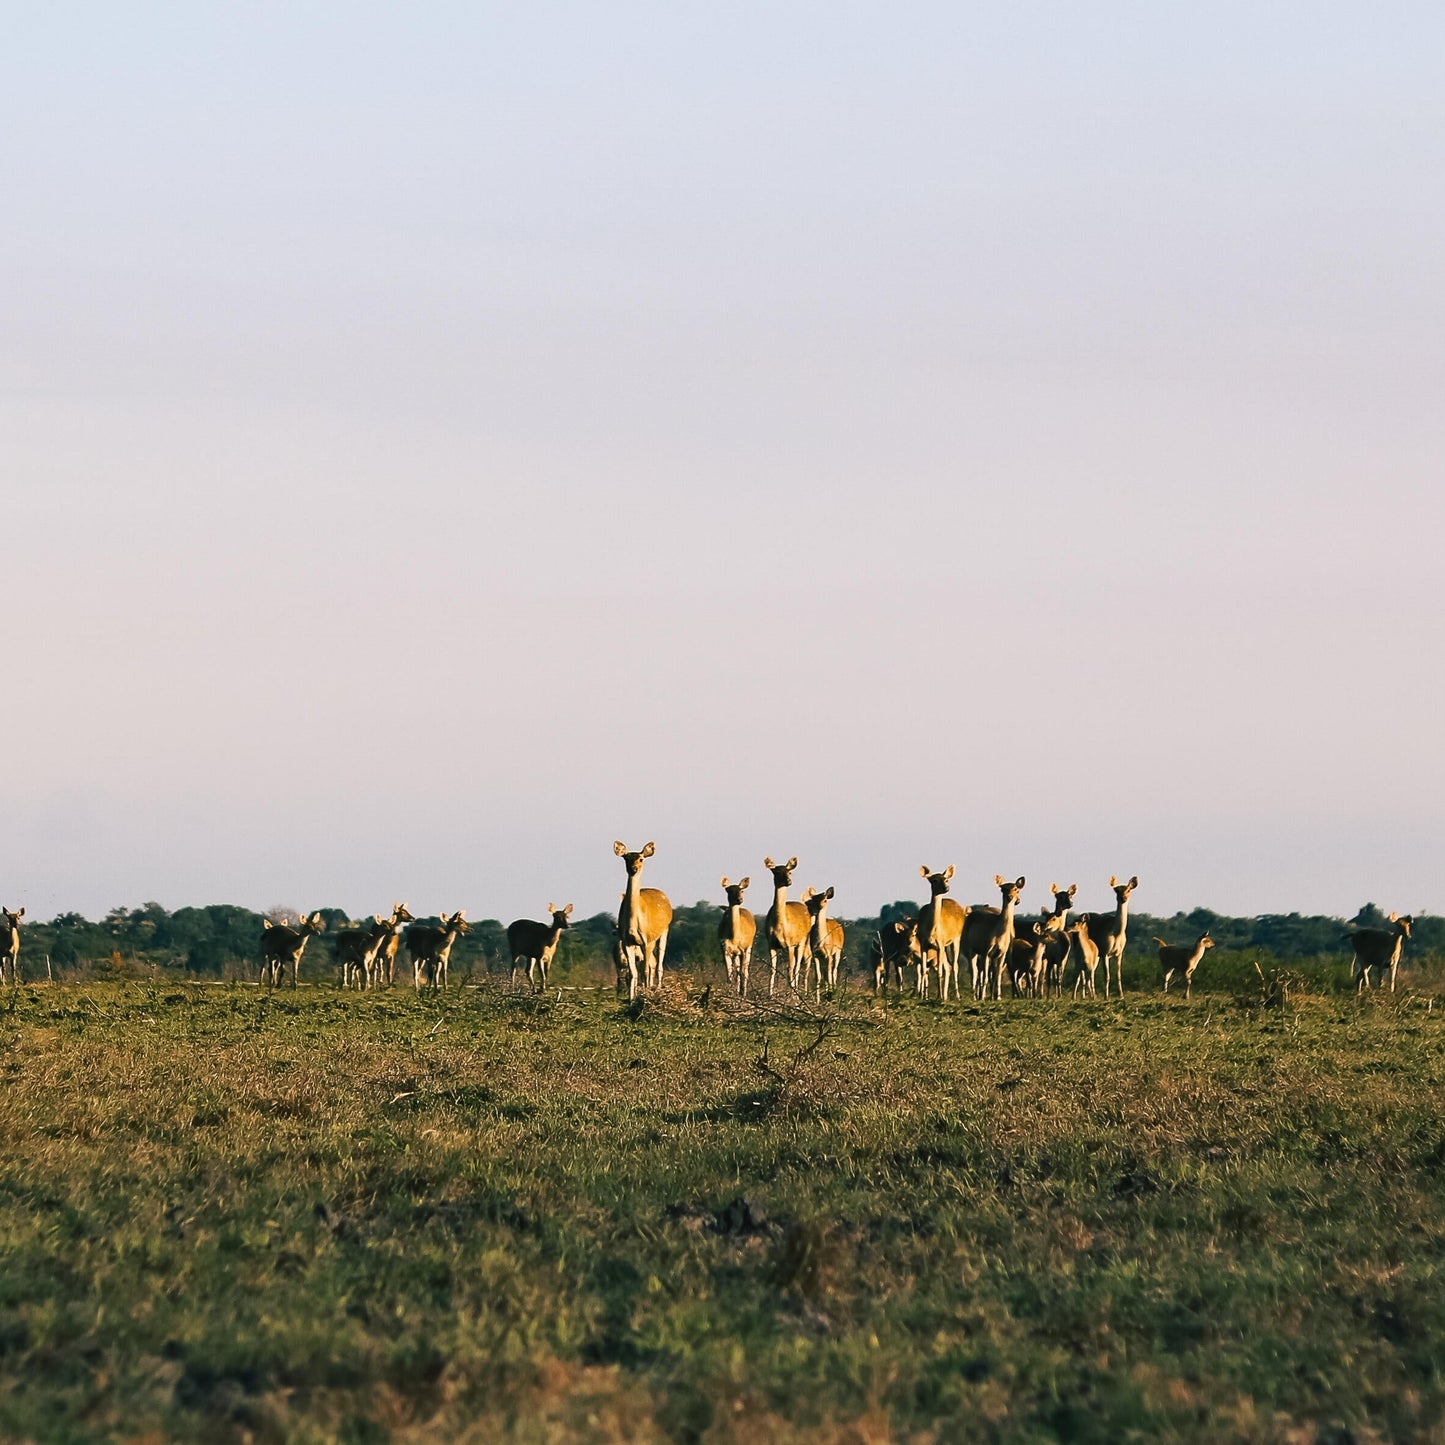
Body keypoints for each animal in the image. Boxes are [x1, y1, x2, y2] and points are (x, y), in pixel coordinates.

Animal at [612, 843, 673, 999]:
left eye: (641, 859)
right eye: (626, 858)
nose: (633, 869)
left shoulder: (647, 939)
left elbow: (645, 971)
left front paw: (645, 996)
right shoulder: (627, 941)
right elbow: (632, 974)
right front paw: (631, 999)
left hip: (664, 931)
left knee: (658, 966)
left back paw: (657, 989)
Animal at [757, 855, 814, 994]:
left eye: (790, 872)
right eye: (776, 872)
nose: (788, 881)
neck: (780, 926)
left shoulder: (790, 943)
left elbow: (790, 968)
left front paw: (791, 994)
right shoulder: (771, 943)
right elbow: (772, 969)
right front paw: (770, 994)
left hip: (803, 940)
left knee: (798, 964)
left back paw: (798, 992)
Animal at [913, 861, 971, 999]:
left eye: (946, 879)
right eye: (934, 880)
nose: (946, 888)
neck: (931, 930)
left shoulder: (939, 943)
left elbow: (939, 971)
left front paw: (938, 996)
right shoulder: (924, 944)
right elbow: (924, 970)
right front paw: (922, 996)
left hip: (956, 939)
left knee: (954, 966)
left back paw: (956, 995)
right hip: (946, 945)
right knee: (948, 967)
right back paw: (945, 995)